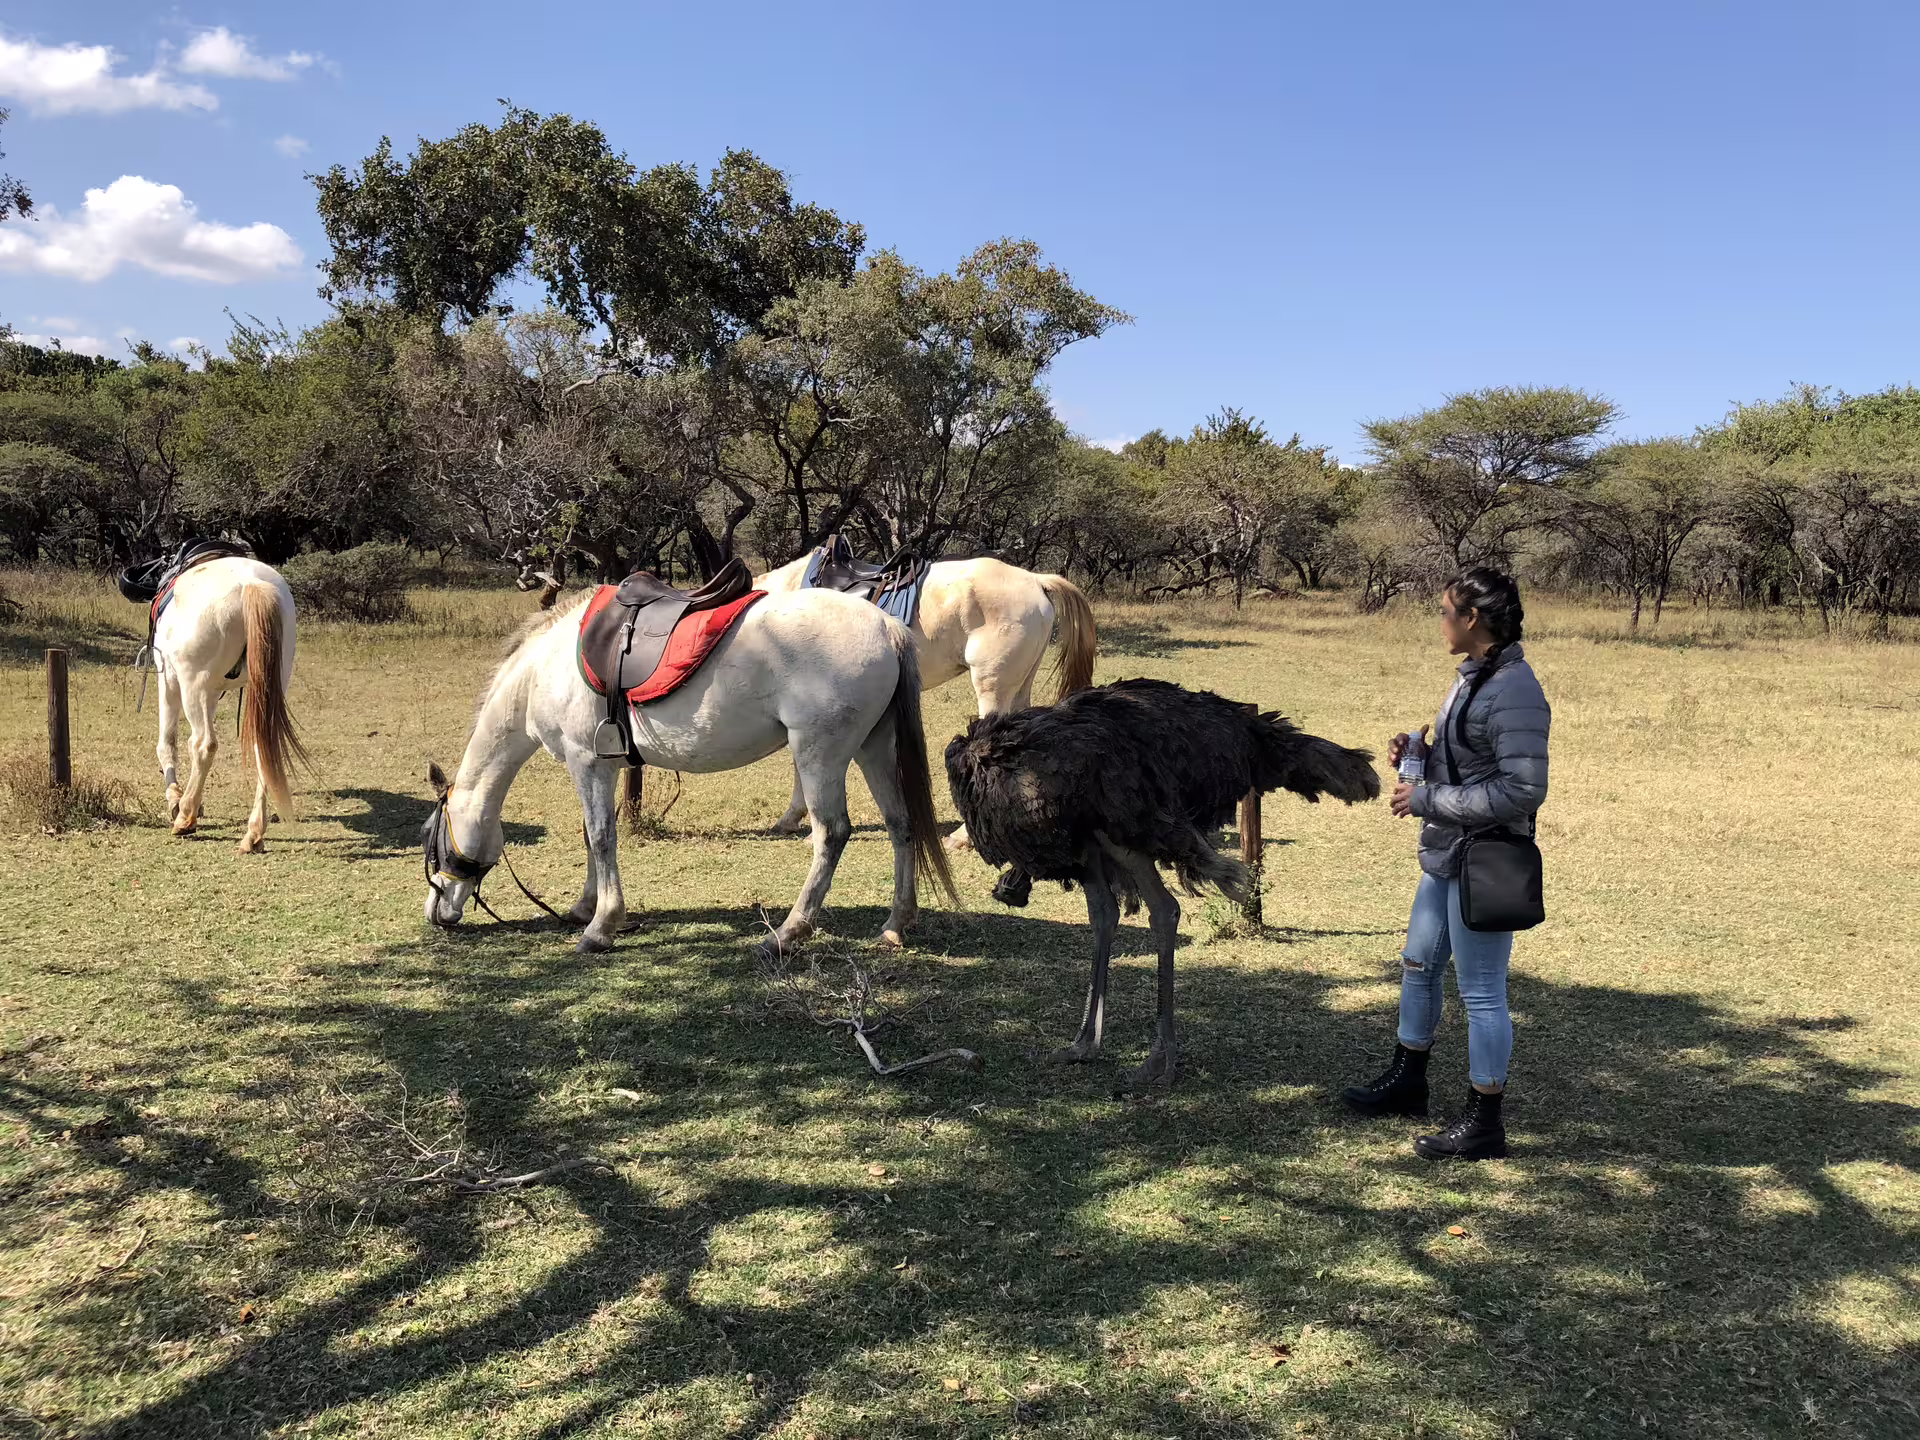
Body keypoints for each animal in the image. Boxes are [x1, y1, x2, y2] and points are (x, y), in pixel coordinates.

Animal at [150, 557, 307, 852]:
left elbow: (167, 743)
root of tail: (250, 583)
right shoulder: (211, 694)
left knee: (203, 745)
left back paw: (185, 817)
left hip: (192, 686)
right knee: (263, 748)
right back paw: (254, 834)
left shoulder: (169, 680)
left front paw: (175, 798)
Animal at [422, 586, 958, 956]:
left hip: (819, 755)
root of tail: (886, 627)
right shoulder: (602, 767)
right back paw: (895, 924)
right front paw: (585, 908)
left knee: (831, 833)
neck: (543, 670)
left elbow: (600, 837)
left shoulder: (587, 762)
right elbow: (592, 836)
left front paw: (600, 927)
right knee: (901, 824)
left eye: (431, 837)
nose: (436, 913)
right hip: (874, 748)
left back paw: (787, 933)